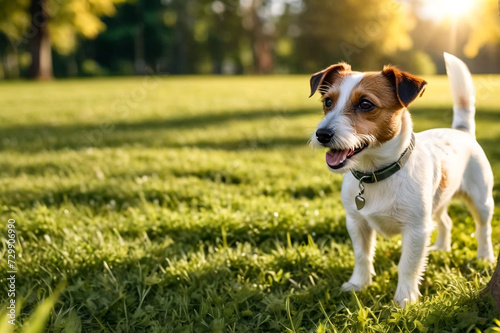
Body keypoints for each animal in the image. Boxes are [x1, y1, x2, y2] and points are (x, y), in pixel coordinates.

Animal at [308, 52, 496, 306]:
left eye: (365, 104)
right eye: (327, 102)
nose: (322, 134)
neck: (376, 174)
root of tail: (461, 131)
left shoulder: (416, 229)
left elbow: (408, 265)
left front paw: (405, 299)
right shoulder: (356, 222)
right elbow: (362, 256)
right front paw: (358, 284)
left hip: (481, 201)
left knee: (483, 229)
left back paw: (485, 257)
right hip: (437, 202)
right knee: (446, 222)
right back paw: (441, 247)